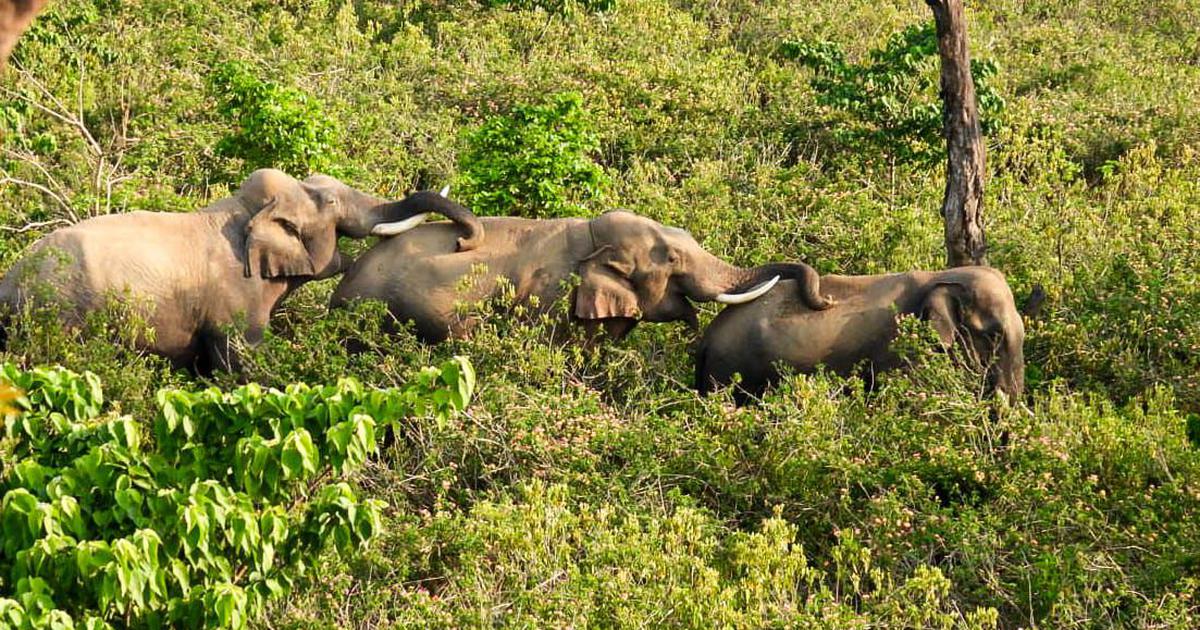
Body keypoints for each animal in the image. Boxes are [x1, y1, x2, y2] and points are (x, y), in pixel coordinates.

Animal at [0, 168, 483, 371]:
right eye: (330, 202)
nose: (462, 241)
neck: (239, 211)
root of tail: (9, 281)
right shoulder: (233, 299)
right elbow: (241, 362)